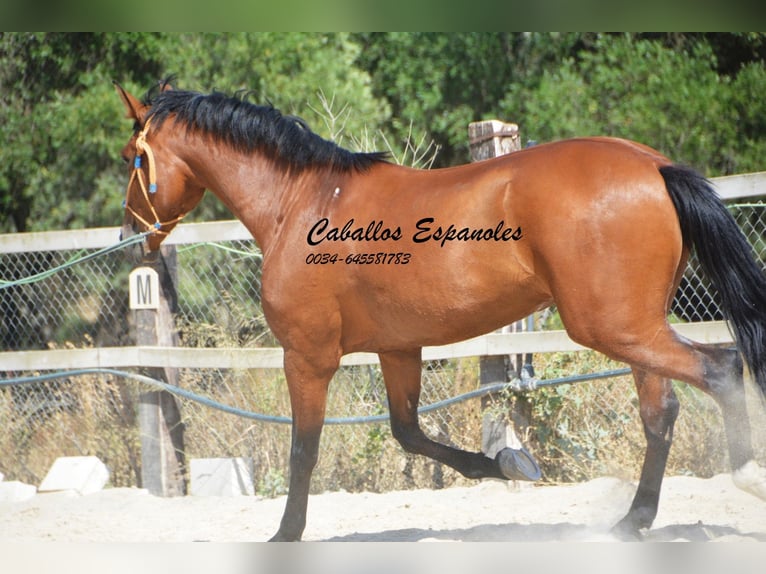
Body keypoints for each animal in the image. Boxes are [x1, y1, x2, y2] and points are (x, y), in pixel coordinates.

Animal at [114, 81, 766, 544]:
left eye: (131, 158)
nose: (128, 237)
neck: (301, 204)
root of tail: (653, 166)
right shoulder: (397, 348)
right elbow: (410, 433)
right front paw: (511, 464)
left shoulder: (308, 356)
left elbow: (305, 450)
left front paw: (285, 535)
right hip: (633, 329)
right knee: (662, 413)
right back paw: (633, 522)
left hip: (614, 327)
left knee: (720, 370)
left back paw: (743, 478)